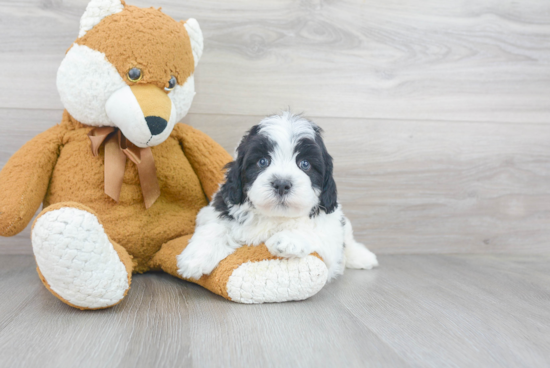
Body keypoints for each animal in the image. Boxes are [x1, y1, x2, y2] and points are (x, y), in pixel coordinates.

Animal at [179, 113, 382, 280]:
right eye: (262, 161)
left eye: (305, 164)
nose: (282, 184)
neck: (276, 216)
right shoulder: (218, 208)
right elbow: (215, 227)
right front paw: (195, 258)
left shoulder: (330, 228)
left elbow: (317, 231)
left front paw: (287, 240)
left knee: (349, 241)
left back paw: (363, 257)